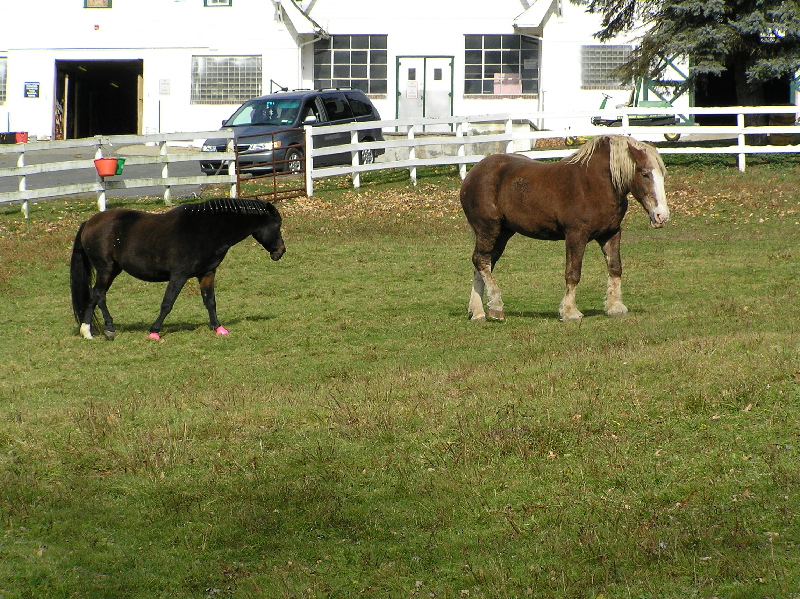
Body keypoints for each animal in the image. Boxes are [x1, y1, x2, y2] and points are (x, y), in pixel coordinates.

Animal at [70, 200, 286, 342]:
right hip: (106, 269)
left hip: (112, 270)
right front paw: (154, 332)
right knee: (99, 295)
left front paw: (218, 328)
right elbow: (167, 303)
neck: (206, 229)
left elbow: (210, 302)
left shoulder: (207, 273)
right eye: (277, 224)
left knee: (94, 296)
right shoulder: (179, 275)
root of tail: (89, 223)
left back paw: (87, 332)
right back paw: (108, 329)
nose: (281, 251)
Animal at [460, 136, 672, 324]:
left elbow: (615, 268)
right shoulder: (576, 236)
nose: (661, 216)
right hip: (488, 228)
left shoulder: (610, 234)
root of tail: (473, 173)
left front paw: (615, 307)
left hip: (503, 233)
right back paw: (495, 307)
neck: (595, 185)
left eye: (662, 175)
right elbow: (573, 273)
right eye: (645, 174)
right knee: (481, 261)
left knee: (483, 263)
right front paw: (570, 312)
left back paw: (478, 312)